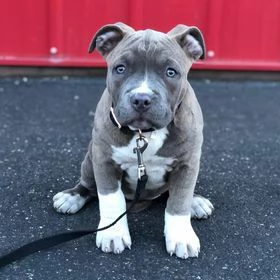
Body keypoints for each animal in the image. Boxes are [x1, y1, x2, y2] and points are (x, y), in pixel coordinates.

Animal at [53, 23, 214, 260]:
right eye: (120, 69)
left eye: (171, 72)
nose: (141, 99)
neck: (144, 133)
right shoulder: (104, 161)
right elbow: (111, 199)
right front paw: (113, 235)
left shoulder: (188, 164)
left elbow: (179, 201)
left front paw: (181, 237)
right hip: (90, 157)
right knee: (88, 186)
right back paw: (72, 196)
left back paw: (196, 201)